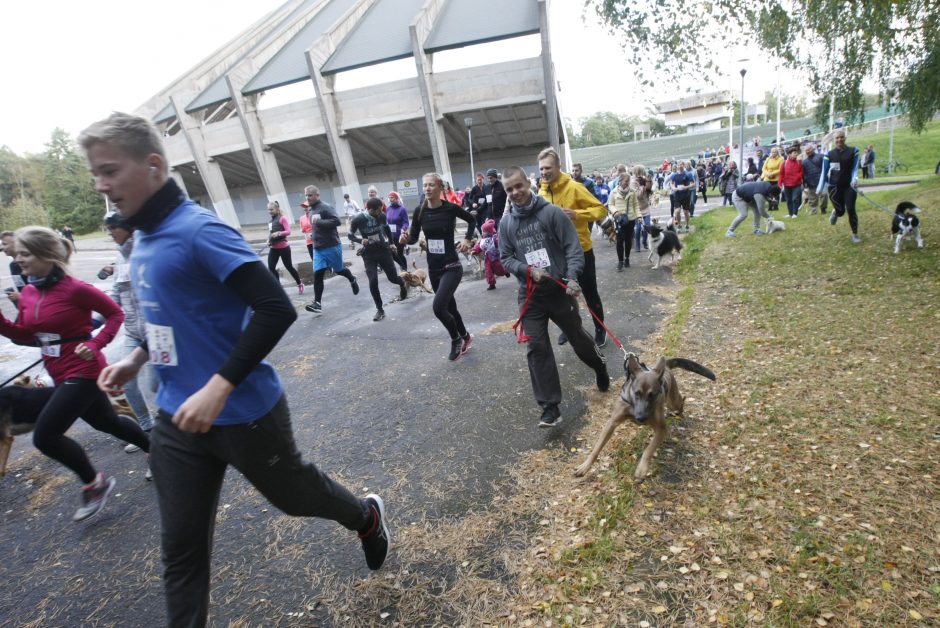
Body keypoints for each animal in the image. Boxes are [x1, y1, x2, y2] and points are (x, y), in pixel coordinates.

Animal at [568, 356, 716, 484]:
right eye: (637, 393)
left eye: (653, 395)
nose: (640, 418)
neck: (634, 406)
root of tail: (665, 367)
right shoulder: (611, 423)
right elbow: (597, 448)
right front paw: (585, 466)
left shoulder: (661, 429)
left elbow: (648, 450)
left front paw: (641, 469)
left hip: (672, 401)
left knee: (680, 400)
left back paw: (679, 412)